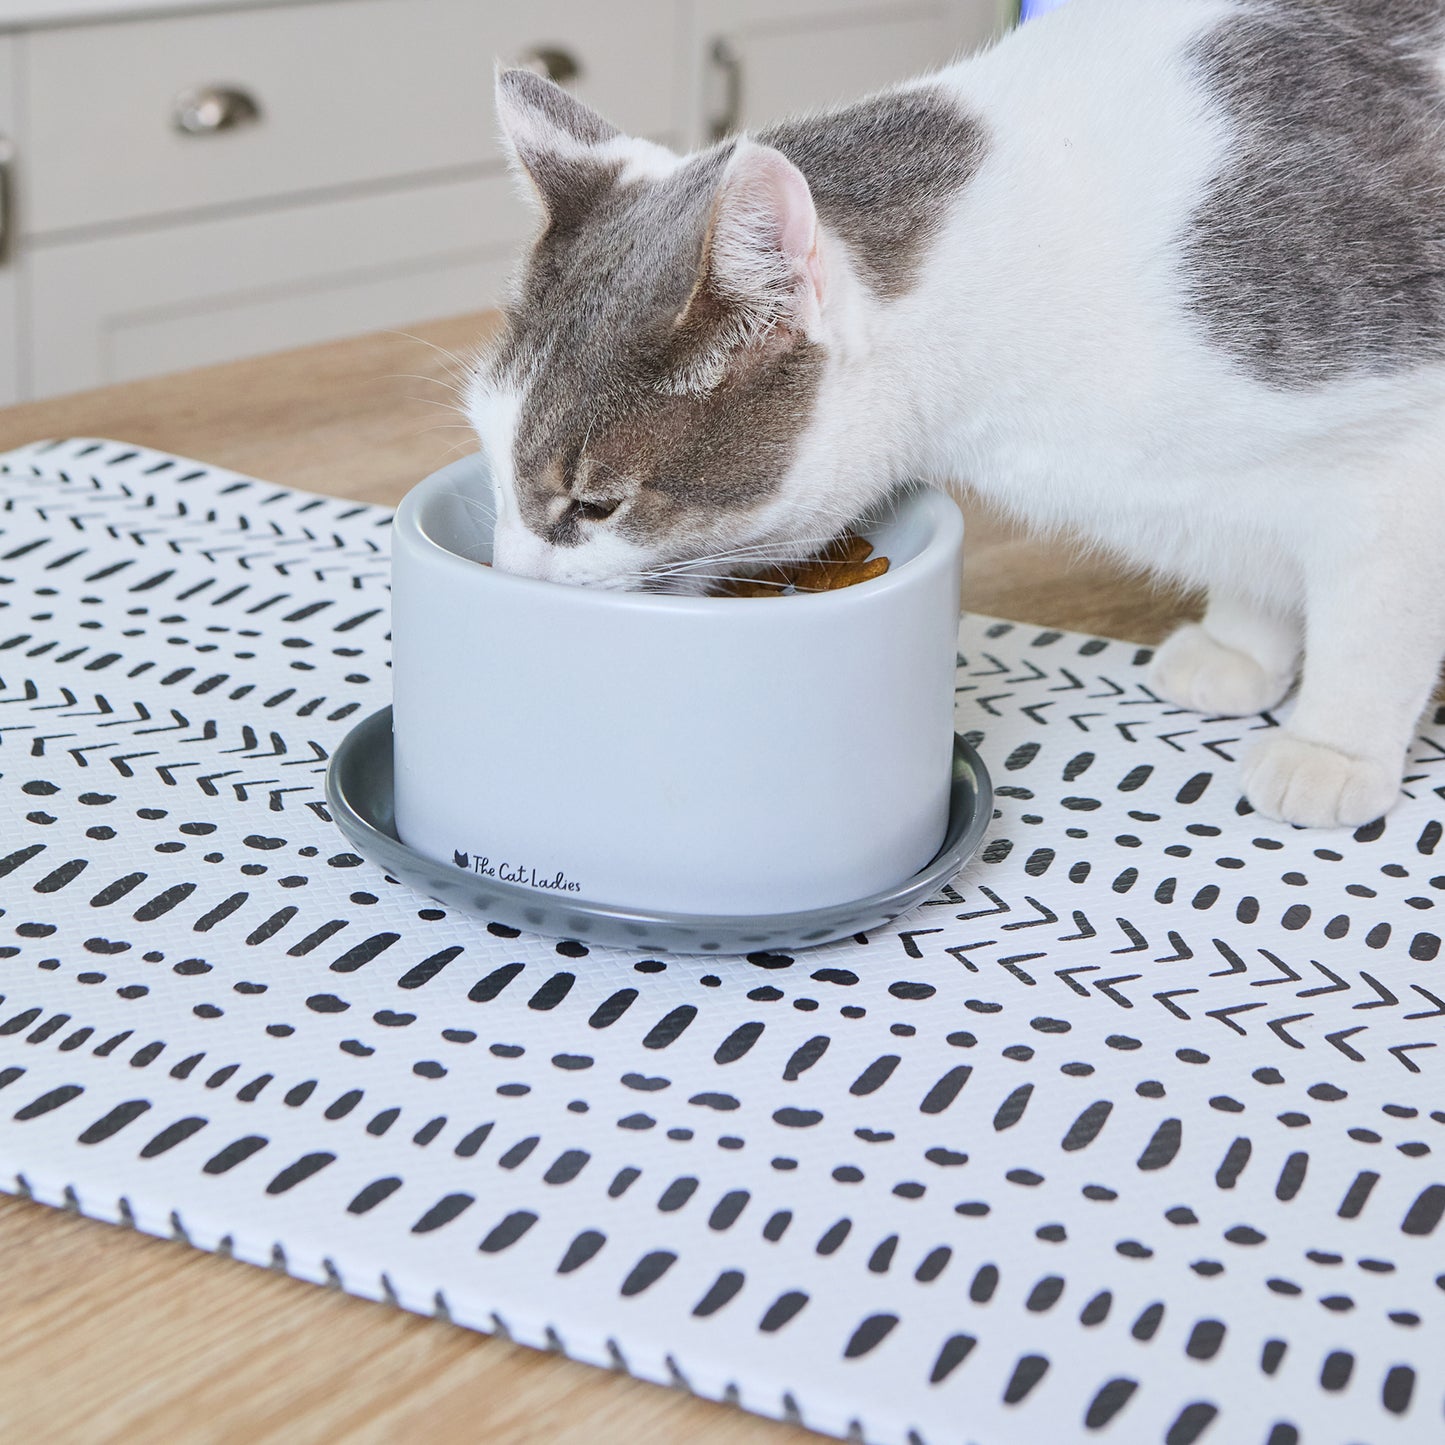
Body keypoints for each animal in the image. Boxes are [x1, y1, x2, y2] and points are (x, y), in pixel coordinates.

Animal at [465, 0, 1445, 832]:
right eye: (495, 472)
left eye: (593, 506)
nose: (509, 577)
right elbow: (1252, 544)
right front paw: (1240, 644)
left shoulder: (1400, 452)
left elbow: (1375, 615)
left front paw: (1330, 748)